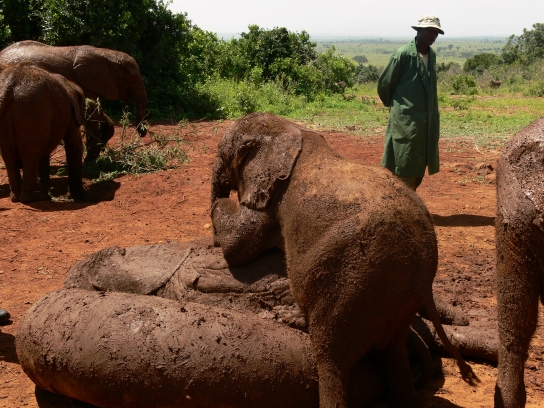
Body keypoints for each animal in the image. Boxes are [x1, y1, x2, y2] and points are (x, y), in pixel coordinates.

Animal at [0, 62, 86, 203]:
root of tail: (9, 84)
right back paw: (32, 198)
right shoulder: (69, 113)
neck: (69, 84)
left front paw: (46, 195)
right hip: (31, 111)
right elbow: (74, 146)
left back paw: (17, 198)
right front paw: (82, 196)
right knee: (30, 154)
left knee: (10, 154)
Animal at [210, 113, 476, 408]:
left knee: (330, 356)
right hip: (399, 296)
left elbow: (237, 246)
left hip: (355, 279)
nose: (223, 184)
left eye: (223, 155)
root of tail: (422, 266)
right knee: (394, 350)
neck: (289, 128)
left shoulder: (273, 197)